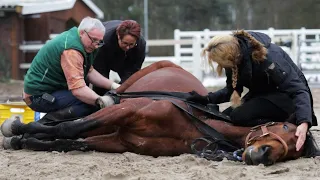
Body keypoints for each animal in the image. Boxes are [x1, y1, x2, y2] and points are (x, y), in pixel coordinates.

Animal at [0, 60, 320, 166]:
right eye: (286, 129)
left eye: (293, 151)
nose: (264, 155)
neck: (193, 122)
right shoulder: (124, 112)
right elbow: (69, 129)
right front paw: (18, 130)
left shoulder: (118, 140)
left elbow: (70, 141)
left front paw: (26, 140)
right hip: (121, 94)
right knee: (85, 110)